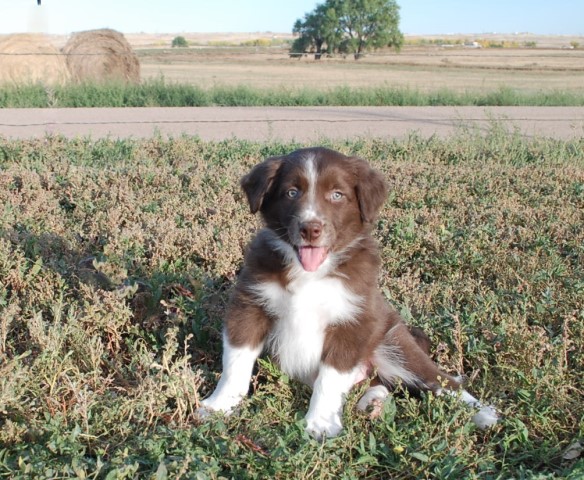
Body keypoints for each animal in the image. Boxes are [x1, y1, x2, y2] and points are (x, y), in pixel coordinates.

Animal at [201, 146, 498, 438]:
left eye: (337, 195)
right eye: (291, 192)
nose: (310, 229)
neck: (309, 273)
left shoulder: (353, 320)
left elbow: (330, 377)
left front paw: (320, 423)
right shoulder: (250, 304)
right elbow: (236, 360)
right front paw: (219, 404)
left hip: (392, 342)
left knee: (441, 380)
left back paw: (482, 412)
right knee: (378, 382)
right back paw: (373, 401)